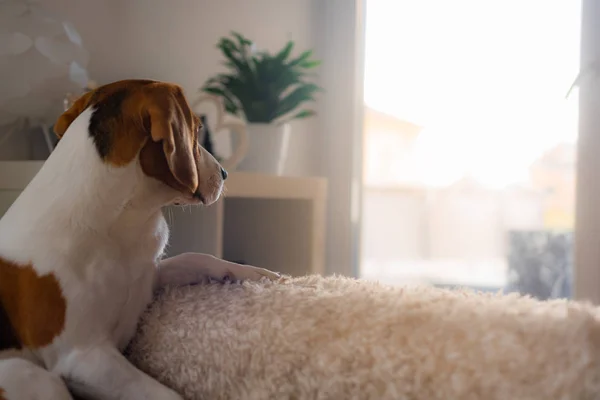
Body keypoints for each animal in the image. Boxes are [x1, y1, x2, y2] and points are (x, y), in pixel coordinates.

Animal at [0, 79, 280, 398]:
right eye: (197, 130)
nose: (225, 173)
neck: (115, 224)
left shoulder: (148, 276)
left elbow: (198, 258)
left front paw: (255, 274)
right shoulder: (84, 357)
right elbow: (166, 394)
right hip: (32, 377)